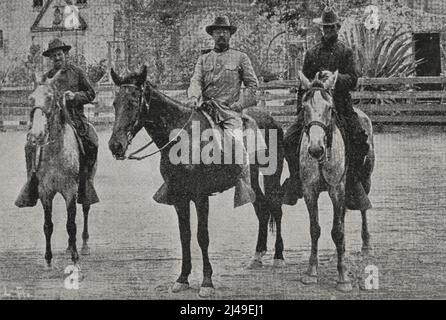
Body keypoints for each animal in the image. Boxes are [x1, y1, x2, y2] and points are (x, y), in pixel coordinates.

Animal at [107, 66, 286, 298]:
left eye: (132, 102)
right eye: (114, 103)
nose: (115, 145)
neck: (183, 140)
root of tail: (271, 119)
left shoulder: (201, 197)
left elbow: (202, 236)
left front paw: (207, 282)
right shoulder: (179, 197)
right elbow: (185, 235)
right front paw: (182, 278)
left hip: (272, 176)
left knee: (276, 208)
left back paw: (279, 257)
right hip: (251, 181)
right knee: (262, 210)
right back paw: (257, 256)